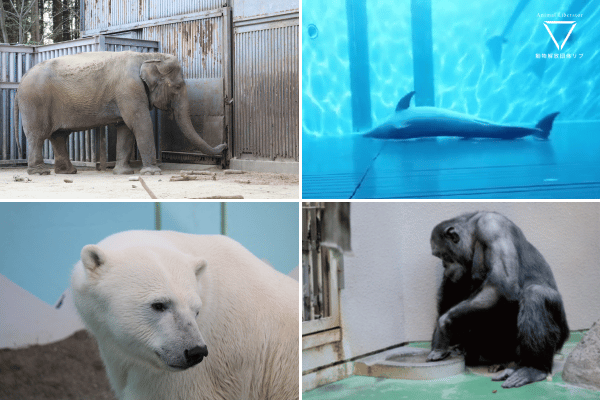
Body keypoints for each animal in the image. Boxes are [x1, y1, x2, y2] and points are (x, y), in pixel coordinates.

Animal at [17, 50, 227, 175]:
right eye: (177, 87)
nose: (225, 146)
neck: (145, 56)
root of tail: (23, 77)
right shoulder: (129, 89)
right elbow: (140, 123)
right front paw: (152, 173)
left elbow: (125, 128)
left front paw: (123, 173)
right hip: (34, 100)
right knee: (38, 135)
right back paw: (39, 172)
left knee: (59, 135)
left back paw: (68, 172)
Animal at [426, 211, 568, 390]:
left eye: (442, 255)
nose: (444, 265)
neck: (473, 232)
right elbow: (450, 290)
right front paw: (450, 342)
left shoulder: (492, 227)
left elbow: (502, 284)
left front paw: (442, 329)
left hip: (558, 336)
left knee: (536, 295)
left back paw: (531, 368)